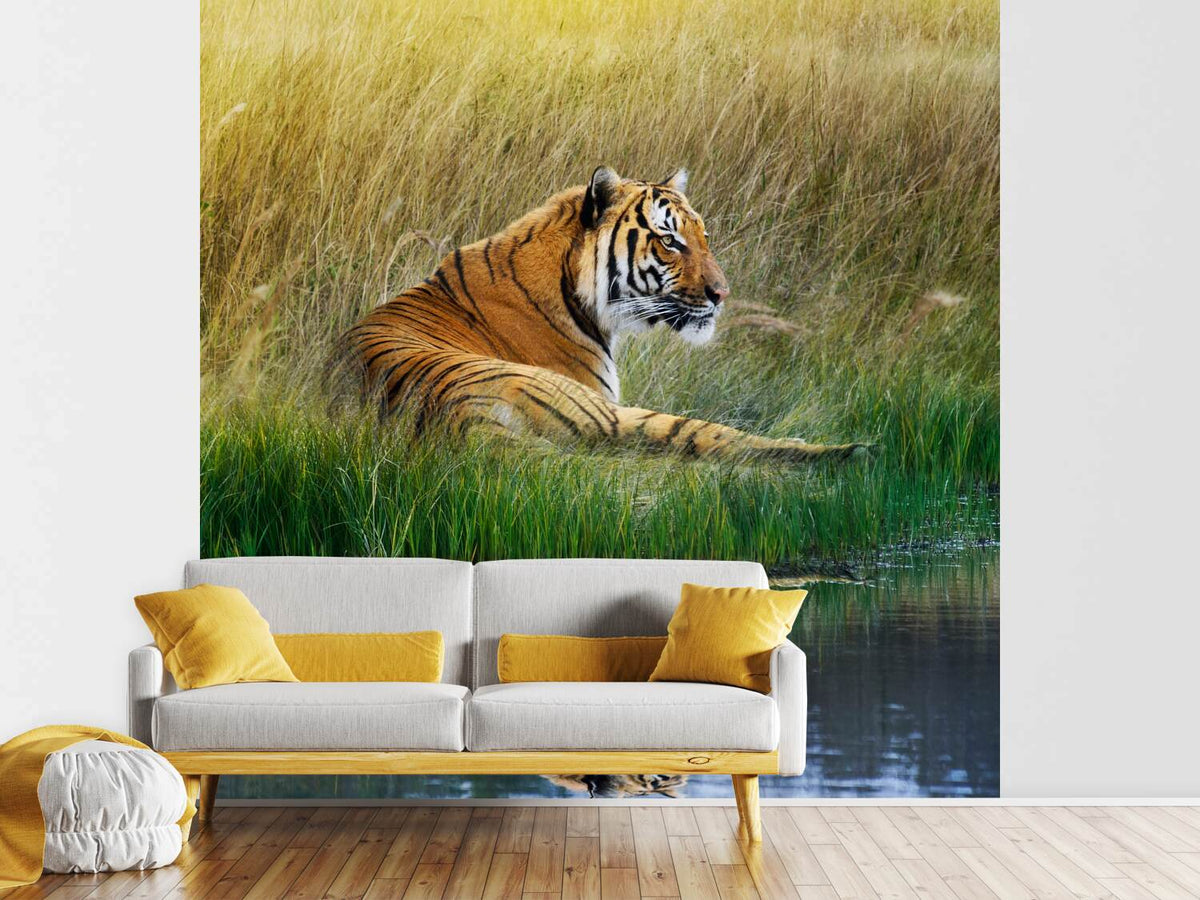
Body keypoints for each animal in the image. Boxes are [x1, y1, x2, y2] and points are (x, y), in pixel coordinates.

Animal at [341, 166, 867, 464]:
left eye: (704, 236)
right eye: (670, 240)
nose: (722, 294)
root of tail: (462, 424)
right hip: (603, 412)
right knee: (715, 436)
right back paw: (854, 451)